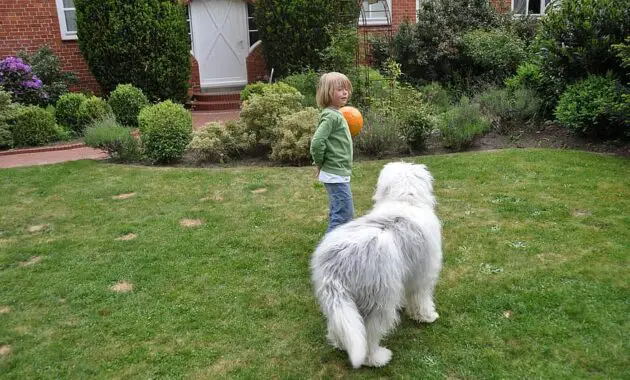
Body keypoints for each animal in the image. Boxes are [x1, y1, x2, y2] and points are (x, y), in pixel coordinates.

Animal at [312, 161, 444, 368]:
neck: (404, 200)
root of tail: (339, 263)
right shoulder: (423, 275)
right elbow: (421, 299)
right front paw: (427, 316)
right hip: (378, 301)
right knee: (369, 334)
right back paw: (377, 358)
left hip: (341, 302)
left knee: (342, 326)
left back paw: (340, 343)